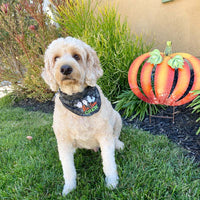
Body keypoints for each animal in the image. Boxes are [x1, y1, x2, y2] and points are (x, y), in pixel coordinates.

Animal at [41, 36, 123, 196]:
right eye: (56, 58)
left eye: (76, 56)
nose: (65, 68)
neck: (78, 99)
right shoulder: (63, 141)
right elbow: (68, 168)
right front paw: (69, 187)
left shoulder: (105, 136)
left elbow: (109, 162)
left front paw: (111, 182)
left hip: (117, 118)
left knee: (115, 136)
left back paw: (118, 144)